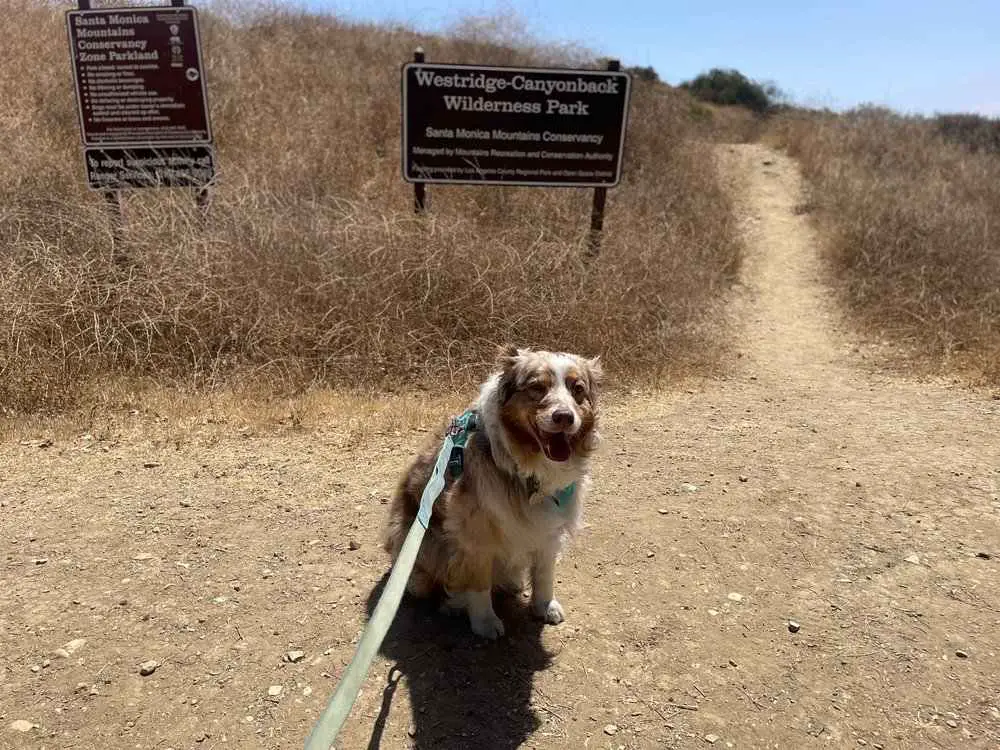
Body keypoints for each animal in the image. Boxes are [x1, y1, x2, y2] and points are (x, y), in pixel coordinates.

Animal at [382, 346, 600, 640]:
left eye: (578, 389)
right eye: (537, 387)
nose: (565, 417)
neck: (527, 468)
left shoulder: (549, 528)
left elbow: (544, 572)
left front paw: (544, 605)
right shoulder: (475, 533)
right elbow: (479, 582)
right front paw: (485, 621)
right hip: (421, 541)